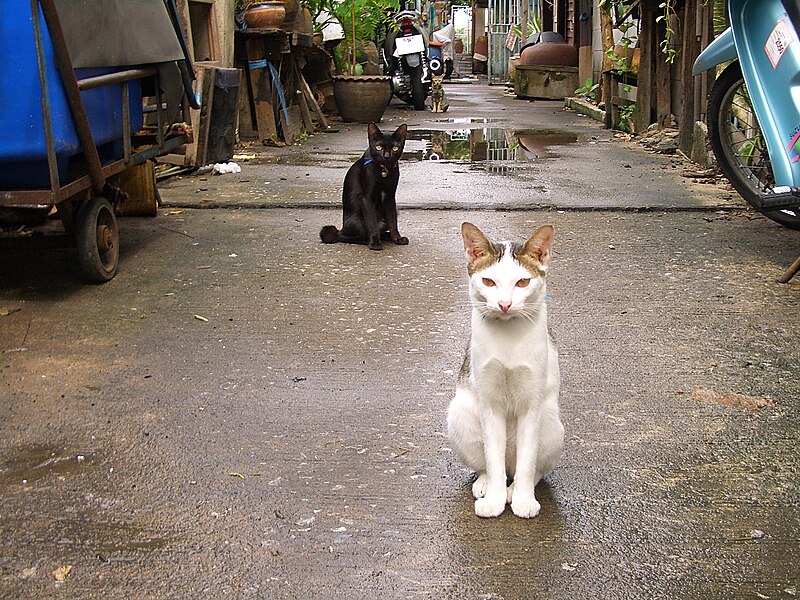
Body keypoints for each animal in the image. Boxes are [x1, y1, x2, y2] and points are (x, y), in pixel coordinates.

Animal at [450, 223, 564, 516]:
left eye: (522, 282)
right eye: (489, 281)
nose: (504, 304)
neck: (508, 334)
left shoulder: (531, 404)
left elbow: (527, 463)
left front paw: (523, 500)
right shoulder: (489, 404)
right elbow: (493, 459)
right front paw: (494, 500)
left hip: (552, 425)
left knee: (531, 469)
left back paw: (515, 490)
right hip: (460, 415)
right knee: (492, 466)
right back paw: (487, 484)